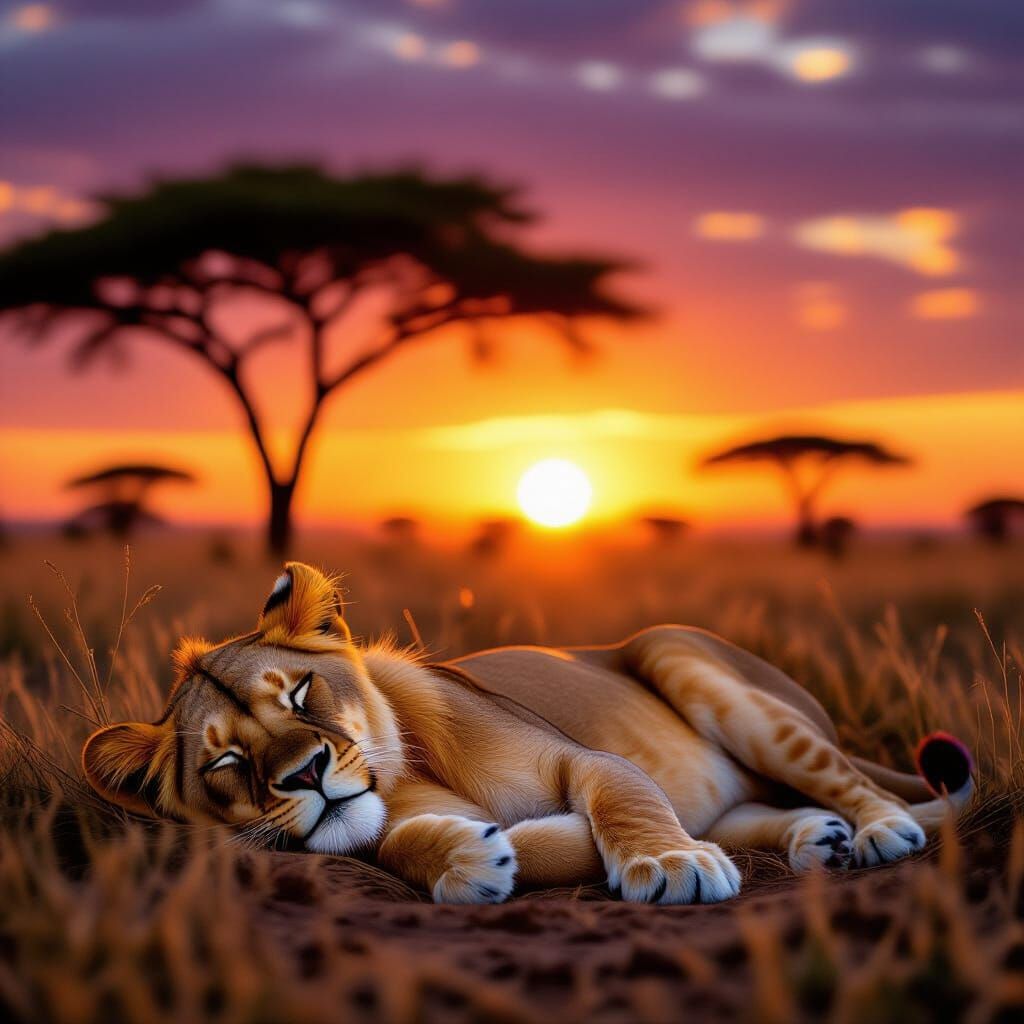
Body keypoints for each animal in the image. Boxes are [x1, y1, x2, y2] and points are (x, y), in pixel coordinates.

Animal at [82, 562, 974, 905]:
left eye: (300, 693)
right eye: (227, 760)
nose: (304, 774)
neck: (410, 781)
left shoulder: (581, 756)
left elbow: (619, 798)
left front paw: (670, 865)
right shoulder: (377, 828)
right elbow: (395, 843)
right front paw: (468, 859)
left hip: (684, 657)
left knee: (878, 790)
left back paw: (878, 831)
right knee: (758, 814)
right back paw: (816, 840)